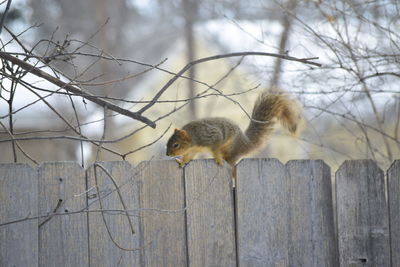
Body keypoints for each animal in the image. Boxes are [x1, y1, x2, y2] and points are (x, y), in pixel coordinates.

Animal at [165, 92, 300, 168]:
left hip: (231, 148)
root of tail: (246, 143)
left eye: (176, 145)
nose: (167, 154)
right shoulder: (193, 150)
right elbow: (188, 157)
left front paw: (218, 160)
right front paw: (182, 162)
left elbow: (215, 150)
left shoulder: (212, 138)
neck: (193, 137)